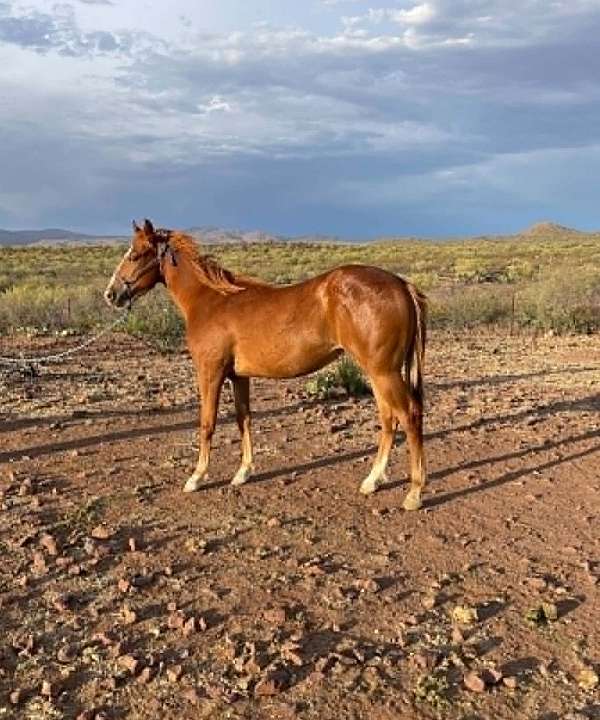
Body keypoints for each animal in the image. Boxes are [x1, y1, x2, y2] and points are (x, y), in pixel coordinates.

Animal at [105, 219, 428, 511]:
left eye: (135, 254)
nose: (111, 294)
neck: (210, 299)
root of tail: (401, 284)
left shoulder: (210, 372)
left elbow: (207, 423)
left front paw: (196, 477)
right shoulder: (238, 377)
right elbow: (243, 418)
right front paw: (243, 472)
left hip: (383, 373)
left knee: (409, 415)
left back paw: (414, 493)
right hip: (378, 374)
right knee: (389, 419)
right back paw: (372, 481)